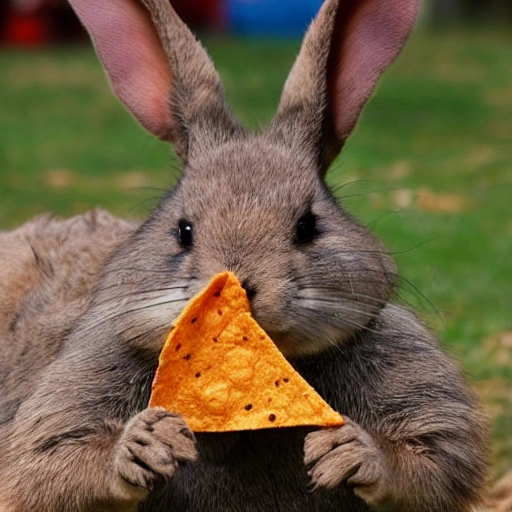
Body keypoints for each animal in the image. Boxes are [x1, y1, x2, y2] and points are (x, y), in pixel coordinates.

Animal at [0, 0, 488, 510]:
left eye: (308, 226)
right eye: (183, 230)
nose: (243, 288)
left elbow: (436, 461)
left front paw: (350, 451)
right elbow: (50, 463)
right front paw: (144, 445)